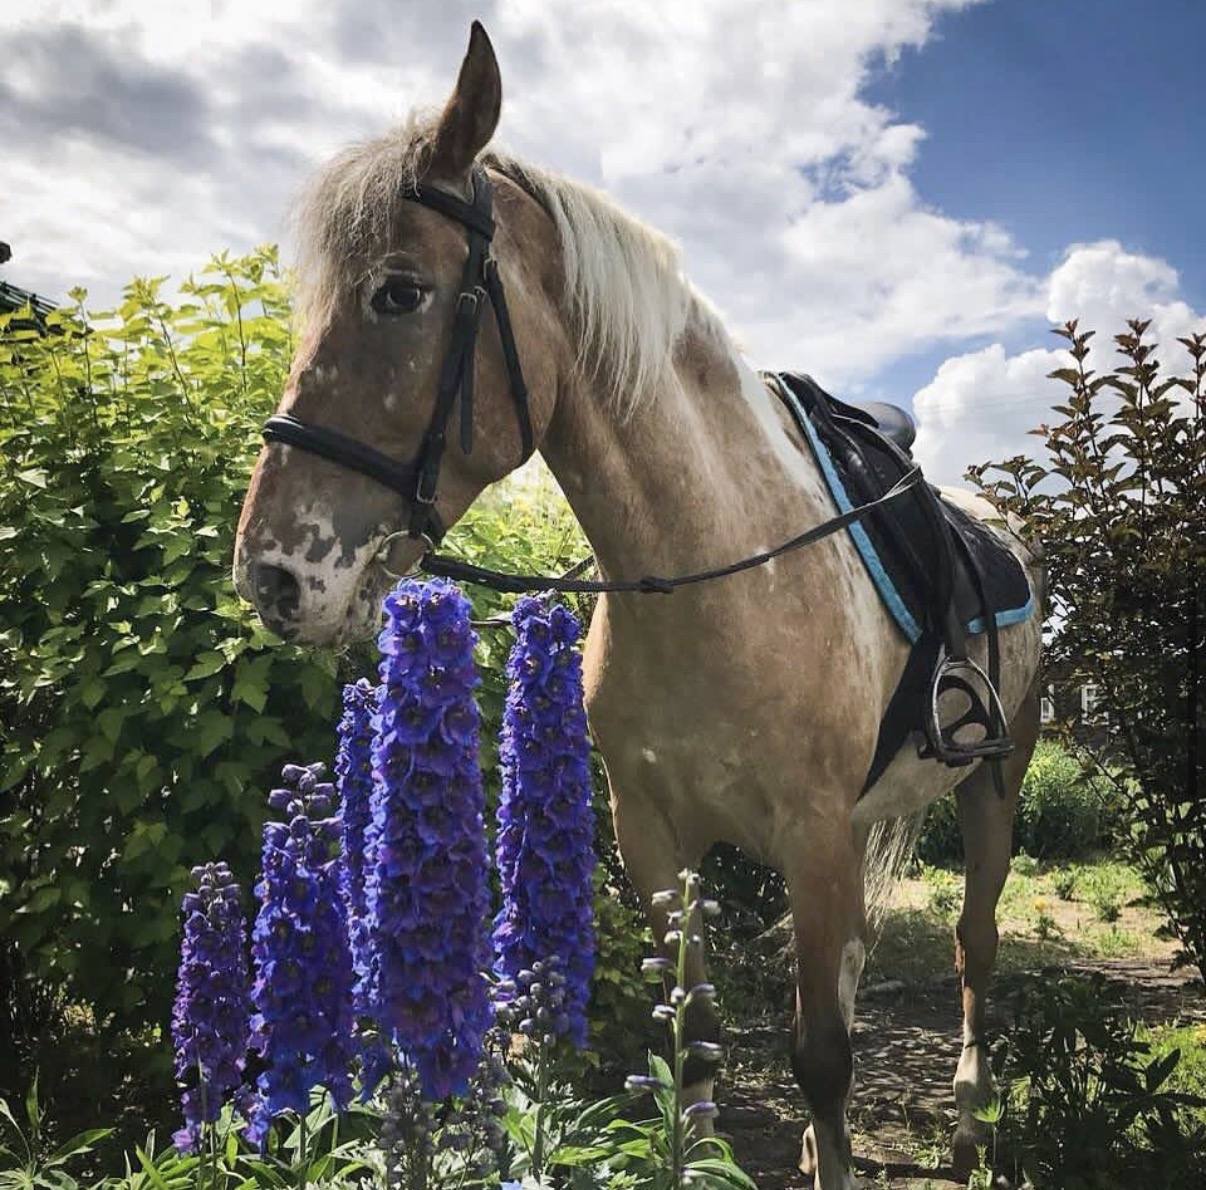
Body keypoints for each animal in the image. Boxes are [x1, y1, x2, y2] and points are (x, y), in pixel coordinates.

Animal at [233, 24, 1043, 1189]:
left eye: (399, 292)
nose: (272, 575)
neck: (724, 573)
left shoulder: (811, 837)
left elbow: (821, 1052)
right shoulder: (657, 836)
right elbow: (695, 1036)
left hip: (993, 786)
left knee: (973, 946)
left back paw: (972, 1122)